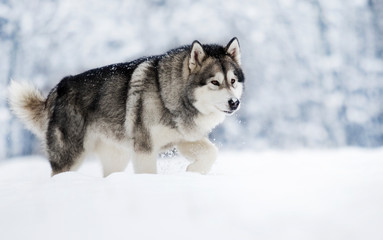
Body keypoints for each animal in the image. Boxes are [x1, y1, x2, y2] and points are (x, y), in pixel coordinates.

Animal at [8, 38, 246, 176]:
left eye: (233, 81)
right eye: (215, 82)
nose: (234, 102)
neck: (167, 94)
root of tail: (58, 88)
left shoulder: (184, 139)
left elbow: (211, 153)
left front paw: (193, 171)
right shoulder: (145, 149)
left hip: (116, 157)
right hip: (70, 157)